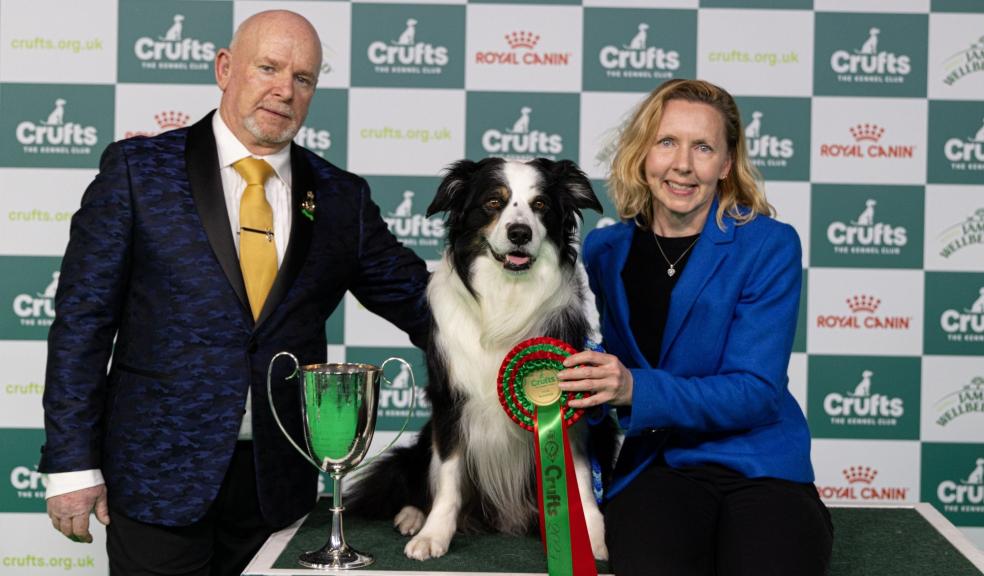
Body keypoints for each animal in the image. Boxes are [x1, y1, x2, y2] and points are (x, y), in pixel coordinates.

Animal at [350, 156, 612, 560]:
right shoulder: (450, 402)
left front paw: (592, 537)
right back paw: (412, 516)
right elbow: (447, 474)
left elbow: (582, 475)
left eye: (540, 205)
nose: (519, 232)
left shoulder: (573, 401)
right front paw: (434, 534)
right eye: (493, 202)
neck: (507, 296)